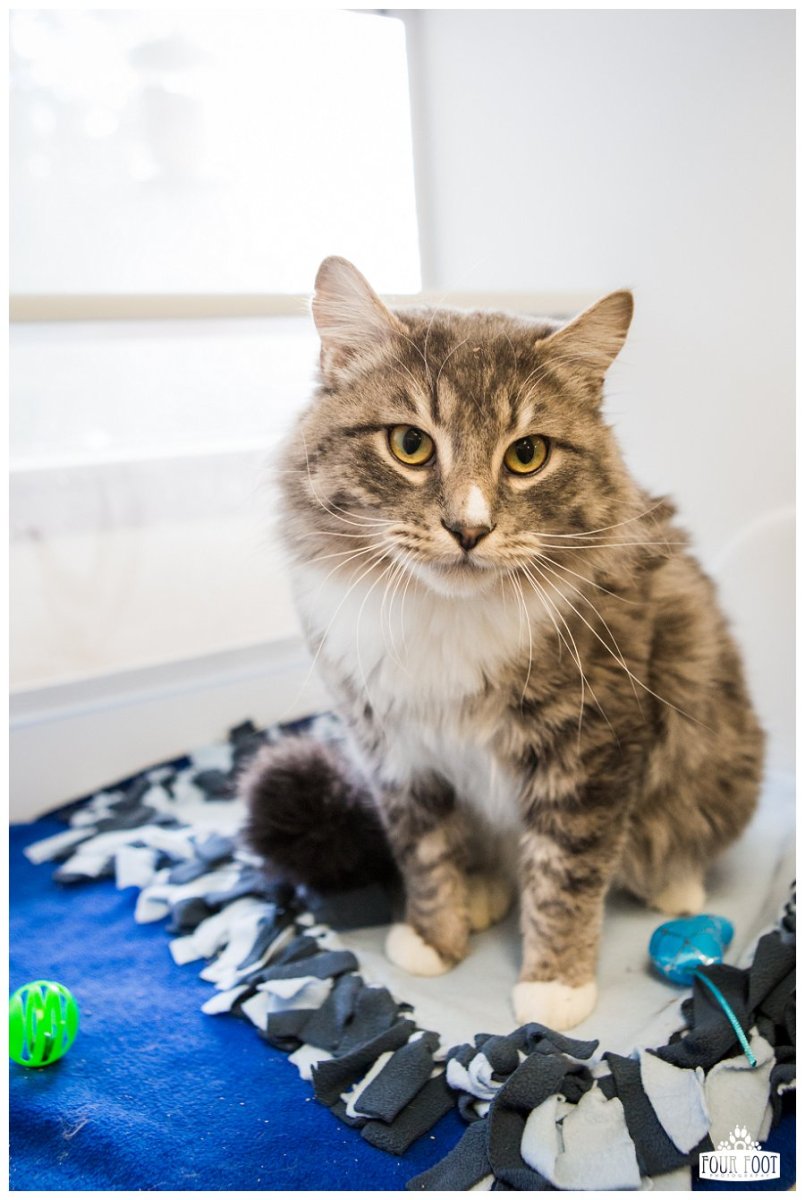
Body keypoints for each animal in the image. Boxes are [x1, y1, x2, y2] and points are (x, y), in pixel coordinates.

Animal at [242, 255, 764, 1031]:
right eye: (410, 445)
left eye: (527, 455)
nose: (469, 528)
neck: (443, 617)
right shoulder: (393, 751)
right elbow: (424, 855)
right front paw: (435, 936)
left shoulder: (590, 749)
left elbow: (564, 873)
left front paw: (555, 986)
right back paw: (484, 892)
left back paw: (674, 887)